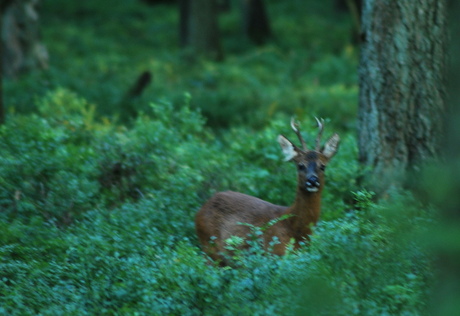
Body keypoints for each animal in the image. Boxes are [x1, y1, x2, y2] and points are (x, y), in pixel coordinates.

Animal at [196, 117, 340, 262]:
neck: (293, 229)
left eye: (322, 166)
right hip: (209, 246)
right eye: (300, 165)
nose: (312, 181)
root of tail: (201, 209)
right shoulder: (274, 254)